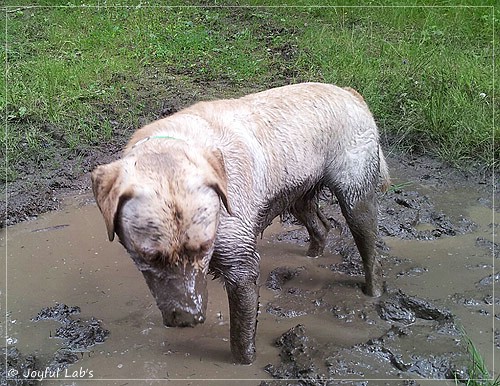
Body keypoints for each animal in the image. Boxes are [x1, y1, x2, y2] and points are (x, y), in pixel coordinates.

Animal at [93, 82, 390, 364]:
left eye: (205, 247)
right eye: (149, 257)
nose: (189, 318)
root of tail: (350, 93)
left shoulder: (241, 268)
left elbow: (241, 335)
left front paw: (244, 362)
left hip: (355, 196)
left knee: (370, 250)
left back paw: (373, 292)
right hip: (298, 194)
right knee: (320, 226)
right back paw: (313, 256)